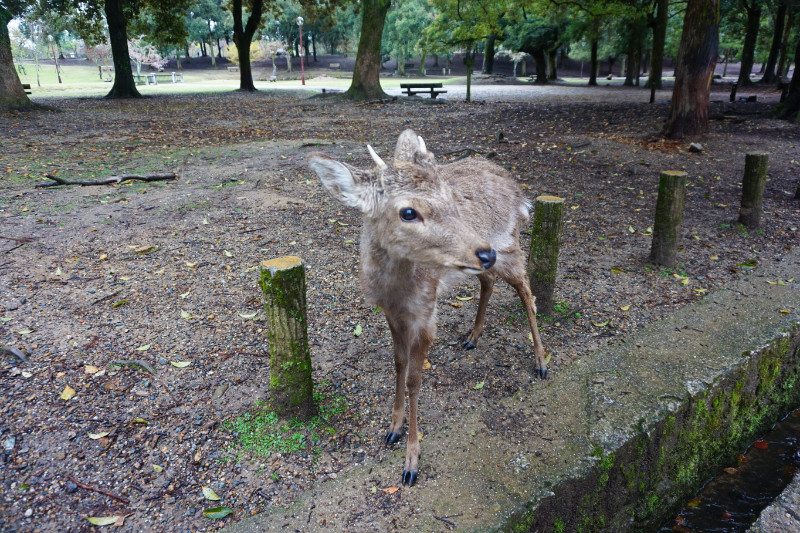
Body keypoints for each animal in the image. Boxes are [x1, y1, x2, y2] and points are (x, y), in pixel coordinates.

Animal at [307, 130, 547, 486]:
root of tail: (517, 189)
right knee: (488, 281)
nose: (483, 252)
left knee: (526, 293)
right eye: (408, 212)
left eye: (451, 198)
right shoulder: (391, 313)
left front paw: (411, 462)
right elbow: (397, 364)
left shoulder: (426, 313)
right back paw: (472, 337)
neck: (396, 292)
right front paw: (392, 428)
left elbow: (414, 380)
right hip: (488, 261)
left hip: (509, 245)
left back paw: (541, 363)